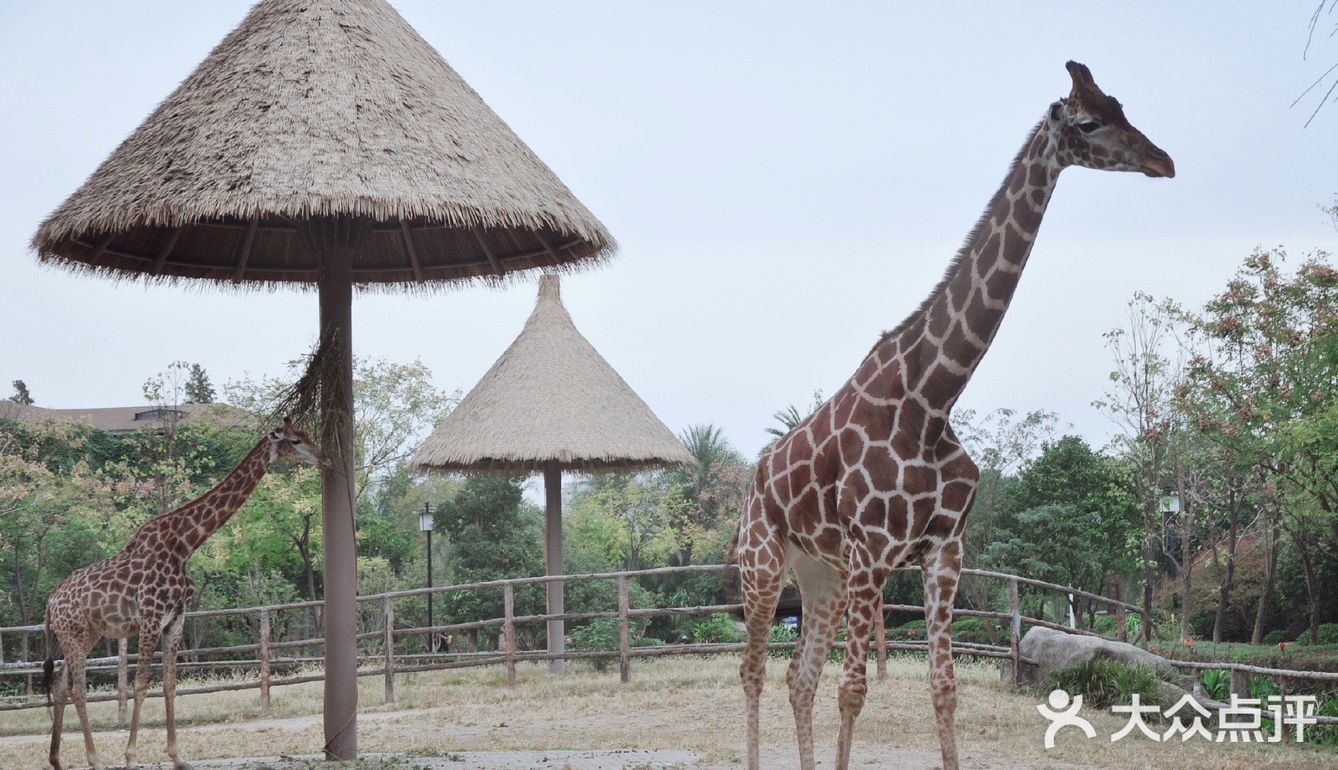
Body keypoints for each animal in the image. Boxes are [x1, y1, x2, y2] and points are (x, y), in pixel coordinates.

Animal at [41, 423, 318, 770]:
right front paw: (131, 757)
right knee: (77, 689)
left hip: (83, 635)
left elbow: (170, 685)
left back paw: (56, 759)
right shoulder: (150, 618)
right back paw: (95, 759)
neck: (185, 545)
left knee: (59, 685)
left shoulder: (175, 619)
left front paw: (177, 756)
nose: (322, 457)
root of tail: (51, 602)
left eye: (306, 435)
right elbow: (140, 685)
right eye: (295, 440)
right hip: (75, 635)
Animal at [733, 58, 1172, 770]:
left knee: (798, 677)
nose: (1164, 160)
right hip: (764, 563)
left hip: (820, 574)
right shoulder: (873, 550)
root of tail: (751, 483)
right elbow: (853, 691)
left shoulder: (943, 549)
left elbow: (943, 687)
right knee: (754, 672)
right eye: (1087, 121)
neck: (933, 398)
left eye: (1122, 105)